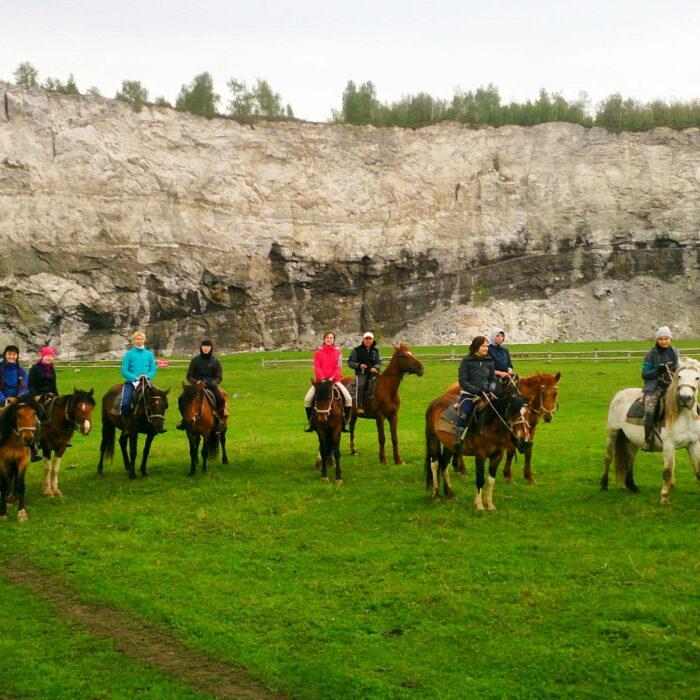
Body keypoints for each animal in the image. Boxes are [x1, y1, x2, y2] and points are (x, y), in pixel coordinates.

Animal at [0, 396, 39, 524]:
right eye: (18, 414)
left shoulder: (22, 461)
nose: (28, 439)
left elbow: (21, 485)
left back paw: (13, 498)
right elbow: (3, 485)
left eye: (34, 413)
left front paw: (22, 513)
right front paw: (3, 514)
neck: (14, 442)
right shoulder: (2, 462)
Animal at [426, 380, 532, 512]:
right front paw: (479, 505)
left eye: (529, 413)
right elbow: (480, 479)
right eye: (514, 412)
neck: (490, 425)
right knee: (434, 463)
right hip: (432, 438)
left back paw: (450, 493)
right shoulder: (480, 455)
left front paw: (490, 504)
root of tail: (434, 402)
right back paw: (436, 494)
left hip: (449, 445)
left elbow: (491, 480)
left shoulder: (497, 456)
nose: (526, 440)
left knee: (444, 463)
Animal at [600, 356, 700, 504]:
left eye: (697, 377)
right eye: (679, 376)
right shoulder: (669, 446)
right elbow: (667, 472)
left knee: (630, 458)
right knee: (608, 457)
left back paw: (632, 485)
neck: (683, 416)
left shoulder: (693, 444)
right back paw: (604, 485)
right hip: (612, 433)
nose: (685, 398)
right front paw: (664, 497)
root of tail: (619, 394)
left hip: (633, 440)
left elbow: (697, 470)